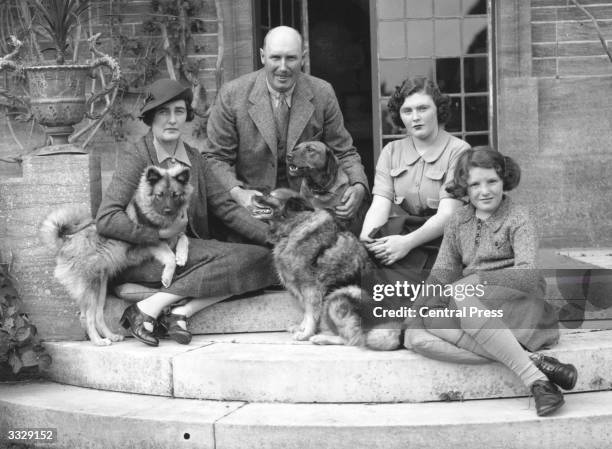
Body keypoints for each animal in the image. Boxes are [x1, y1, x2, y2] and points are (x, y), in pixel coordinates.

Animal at [40, 166, 191, 344]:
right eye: (159, 195)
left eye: (175, 194)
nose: (168, 210)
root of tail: (66, 242)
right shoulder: (153, 241)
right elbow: (169, 257)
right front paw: (167, 276)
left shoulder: (173, 236)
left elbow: (184, 238)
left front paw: (182, 256)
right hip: (91, 288)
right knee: (87, 317)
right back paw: (98, 341)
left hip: (101, 288)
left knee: (98, 316)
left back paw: (110, 336)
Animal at [256, 187, 402, 348]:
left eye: (270, 195)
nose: (253, 196)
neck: (295, 226)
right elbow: (307, 313)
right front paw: (301, 328)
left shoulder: (311, 287)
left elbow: (311, 314)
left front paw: (306, 333)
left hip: (343, 294)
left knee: (353, 338)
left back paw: (321, 338)